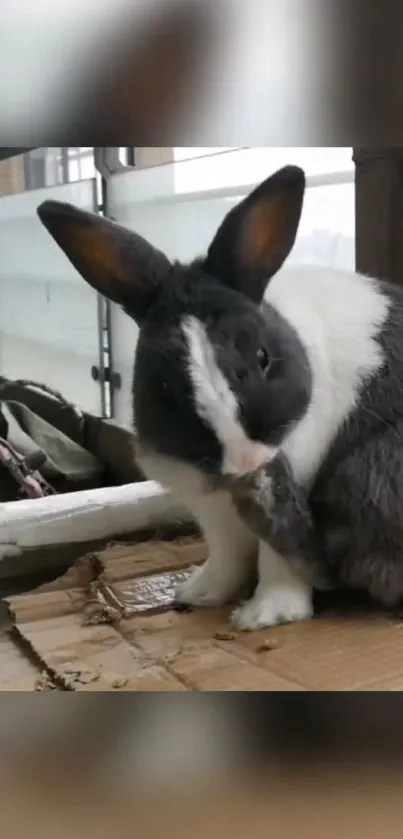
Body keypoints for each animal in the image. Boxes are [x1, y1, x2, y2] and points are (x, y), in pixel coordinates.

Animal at [36, 166, 402, 632]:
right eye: (162, 382)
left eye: (263, 357)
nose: (244, 461)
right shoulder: (208, 508)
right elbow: (226, 553)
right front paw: (199, 592)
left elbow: (280, 557)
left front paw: (266, 616)